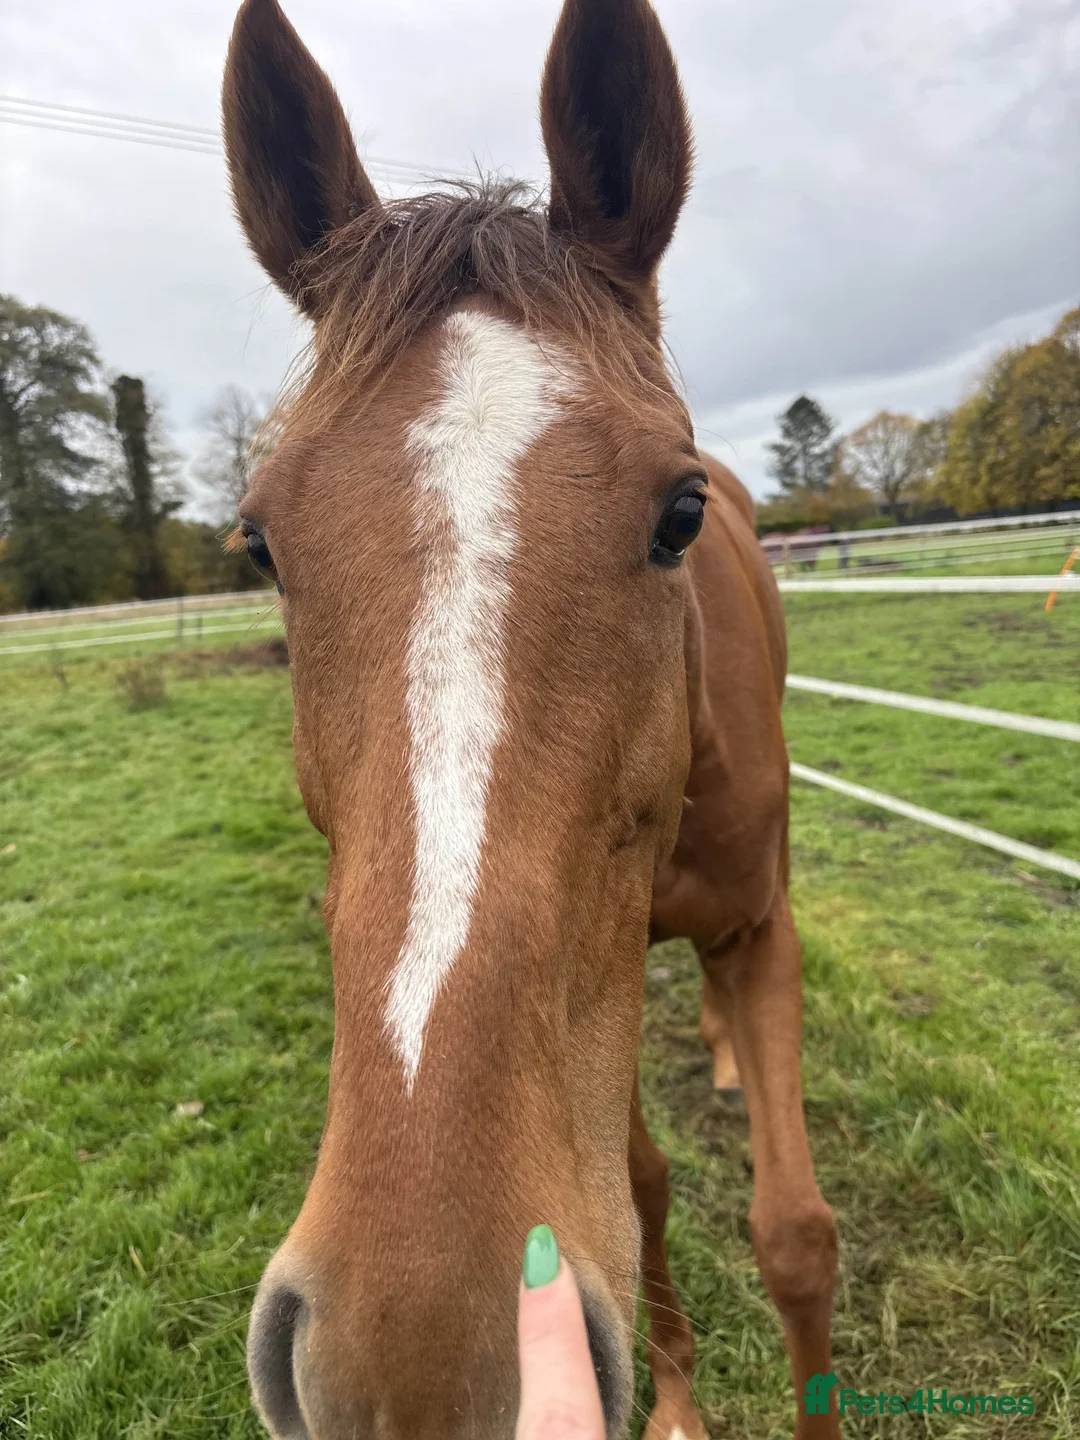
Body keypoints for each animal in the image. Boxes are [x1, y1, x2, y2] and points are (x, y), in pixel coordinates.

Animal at [222, 0, 838, 1436]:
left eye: (680, 511)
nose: (417, 1359)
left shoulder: (757, 930)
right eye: (260, 544)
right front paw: (676, 1400)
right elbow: (648, 1188)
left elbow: (793, 1232)